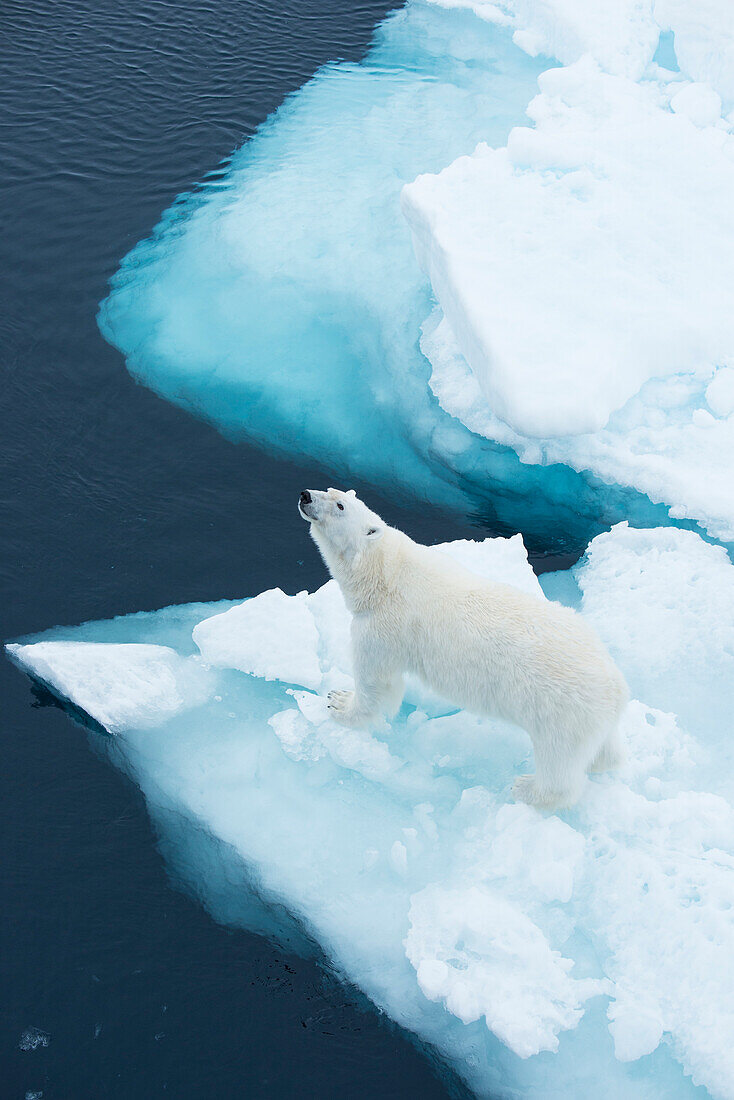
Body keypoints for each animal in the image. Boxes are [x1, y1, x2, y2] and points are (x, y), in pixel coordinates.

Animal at [297, 490, 625, 809]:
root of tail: (617, 688)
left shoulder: (385, 628)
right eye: (330, 489)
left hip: (562, 712)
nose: (305, 495)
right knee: (605, 749)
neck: (385, 573)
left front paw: (340, 702)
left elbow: (376, 682)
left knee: (558, 764)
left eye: (340, 505)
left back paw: (526, 788)